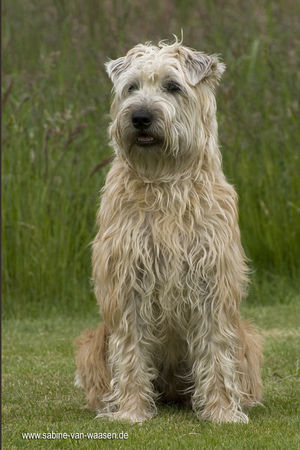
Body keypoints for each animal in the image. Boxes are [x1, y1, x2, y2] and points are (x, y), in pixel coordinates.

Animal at [75, 37, 262, 422]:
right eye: (131, 87)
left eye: (173, 86)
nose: (140, 117)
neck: (164, 181)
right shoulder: (127, 282)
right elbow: (130, 352)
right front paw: (130, 411)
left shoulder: (213, 284)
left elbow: (216, 350)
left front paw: (222, 411)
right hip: (91, 346)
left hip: (249, 341)